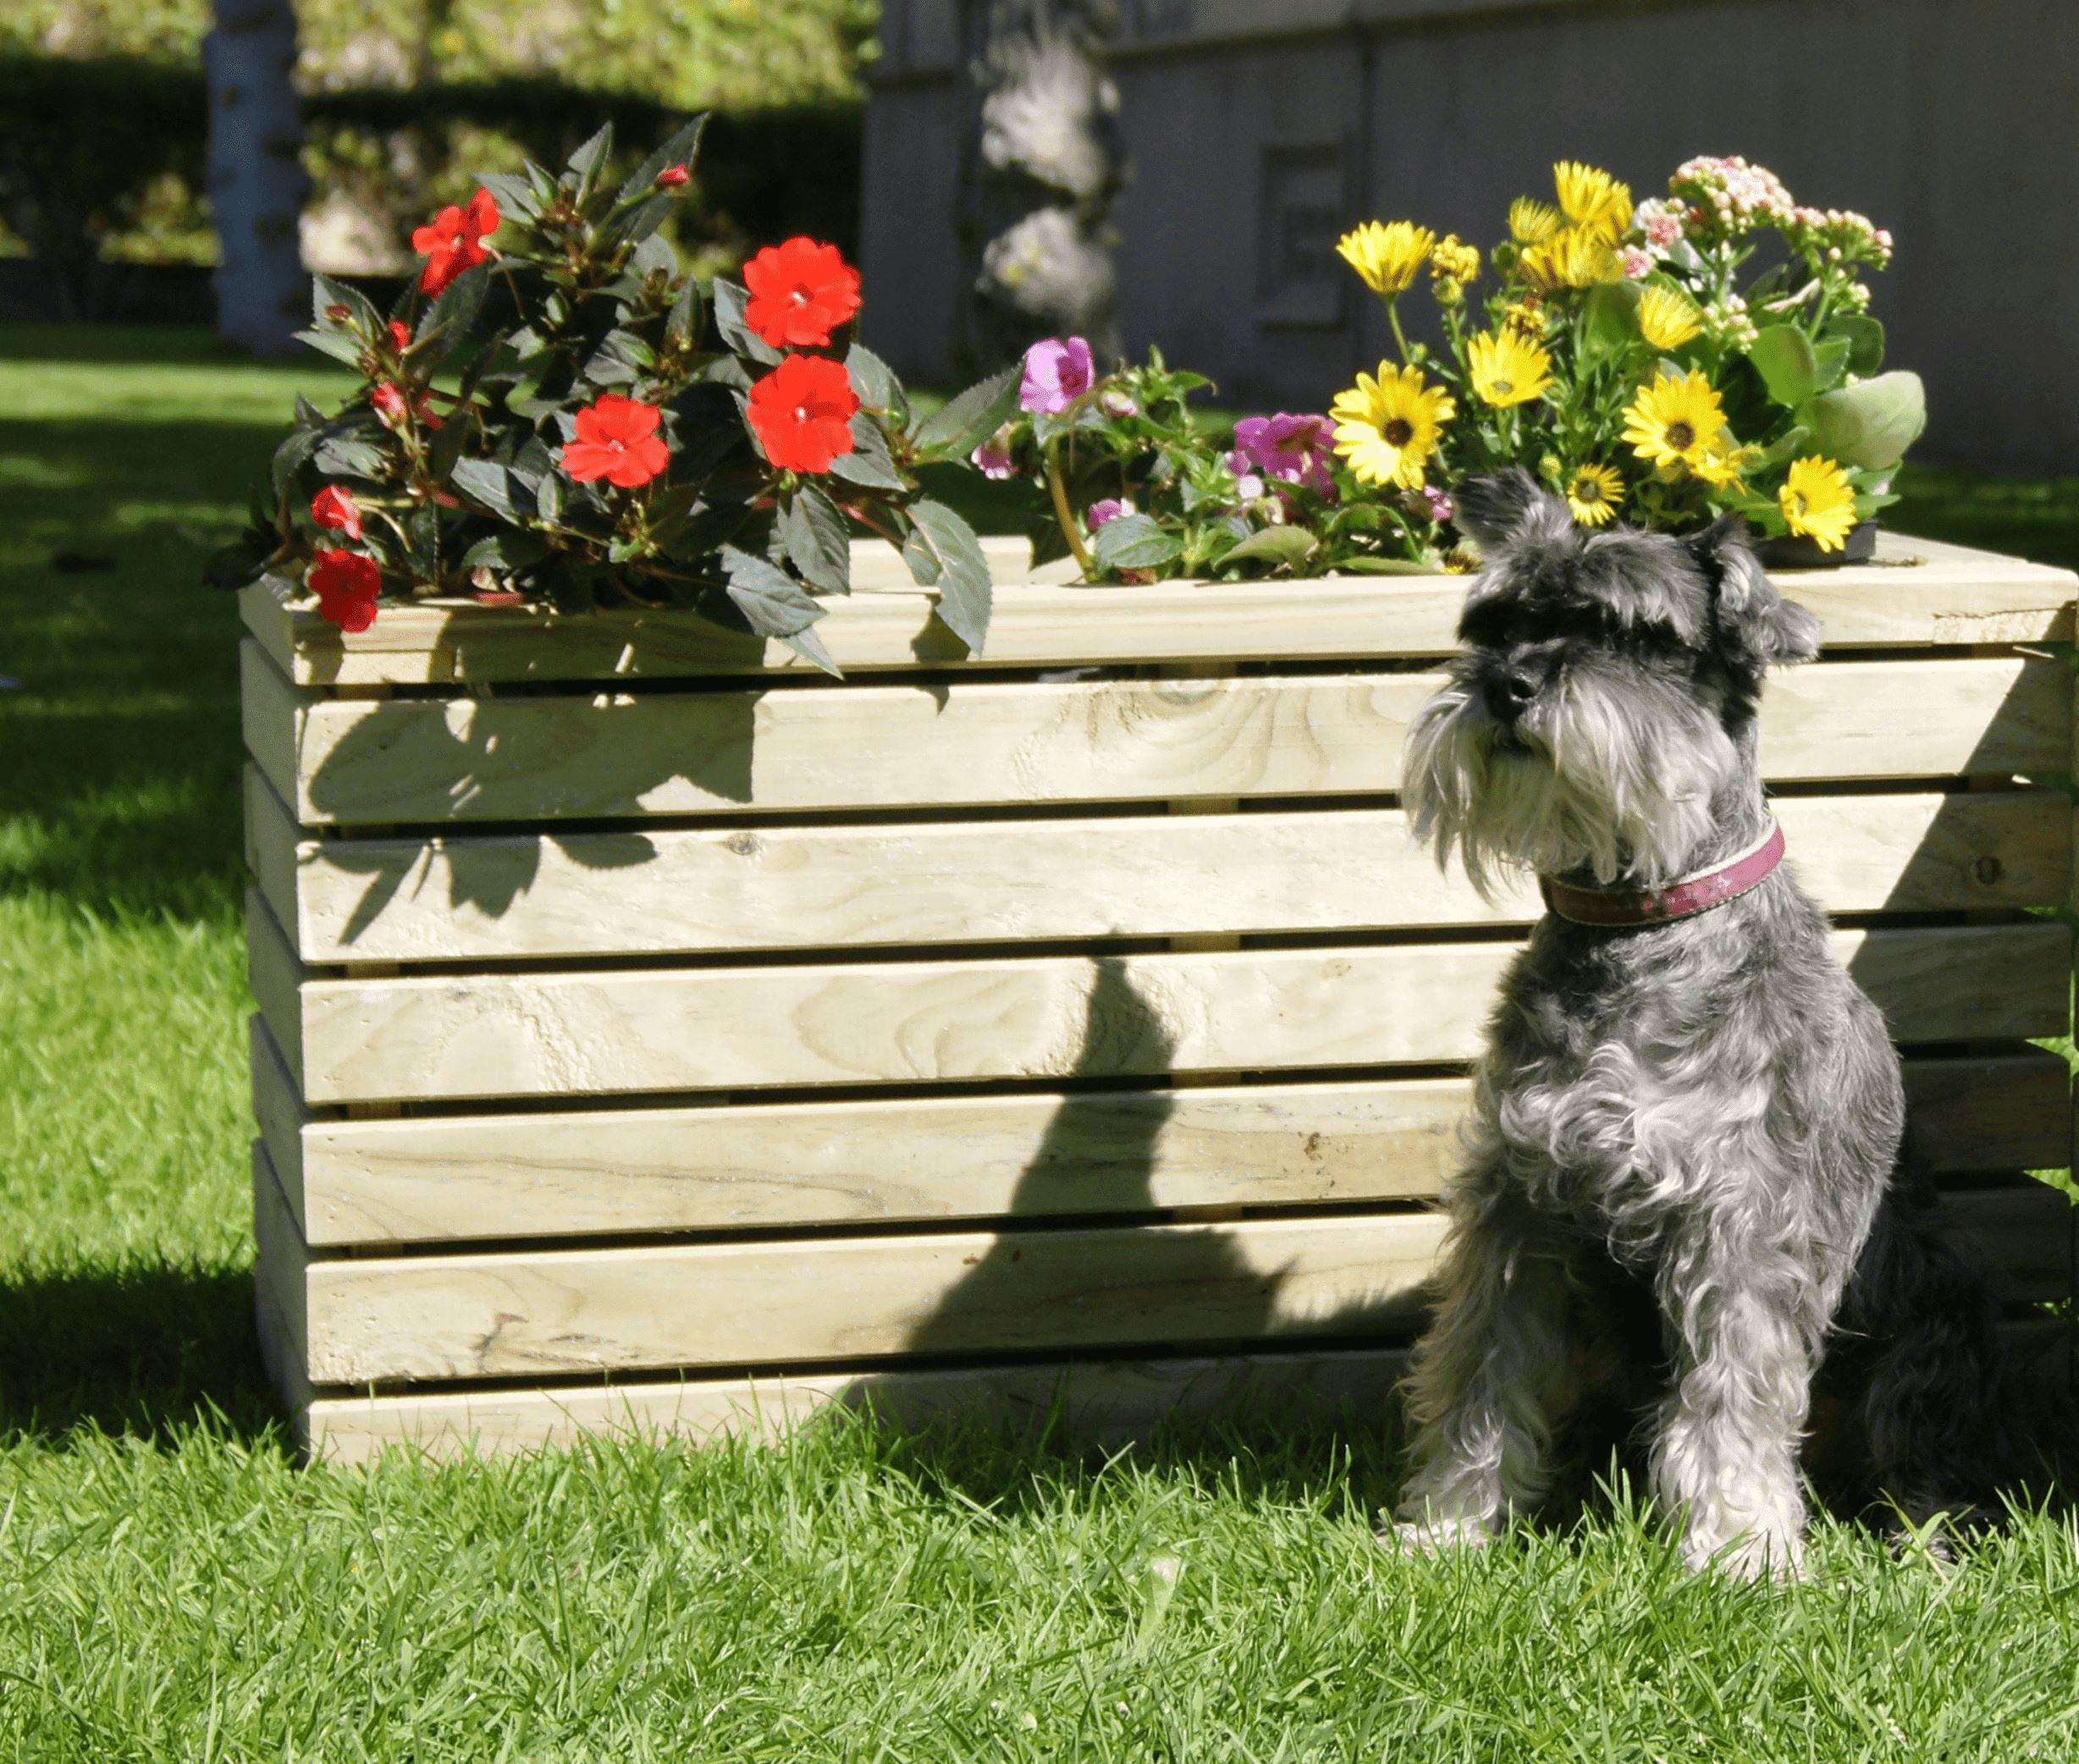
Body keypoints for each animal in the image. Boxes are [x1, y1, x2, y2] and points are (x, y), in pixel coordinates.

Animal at [1388, 465, 2004, 1570]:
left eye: (1633, 634)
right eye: (1496, 625)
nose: (1507, 686)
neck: (1635, 927)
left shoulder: (1741, 1218)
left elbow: (1731, 1396)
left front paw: (1736, 1550)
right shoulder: (1518, 1208)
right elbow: (1478, 1375)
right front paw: (1449, 1525)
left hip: (1933, 1311)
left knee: (1922, 1452)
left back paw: (1927, 1542)